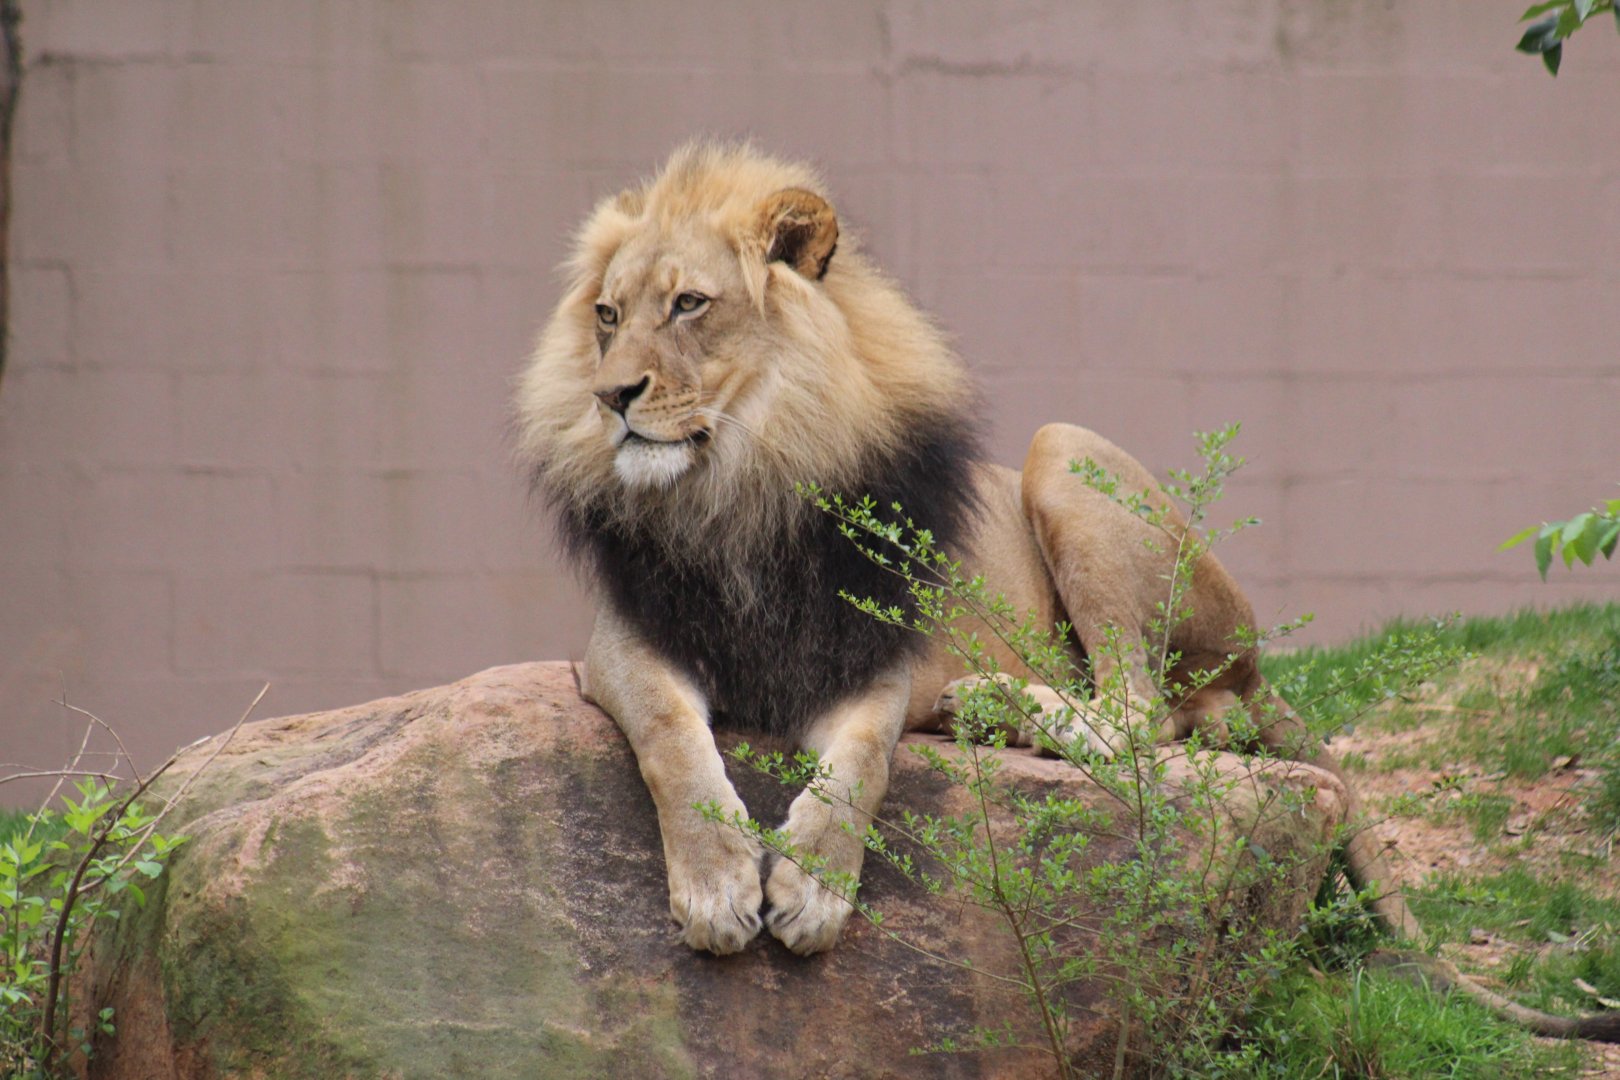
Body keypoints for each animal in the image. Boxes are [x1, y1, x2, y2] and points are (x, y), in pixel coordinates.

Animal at [514, 142, 1617, 1042]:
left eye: (689, 305)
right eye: (607, 316)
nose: (609, 397)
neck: (737, 488)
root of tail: (1257, 664)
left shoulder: (880, 658)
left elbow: (860, 764)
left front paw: (814, 891)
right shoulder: (619, 646)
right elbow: (672, 737)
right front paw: (714, 886)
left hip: (1064, 450)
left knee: (1141, 718)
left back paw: (1000, 703)